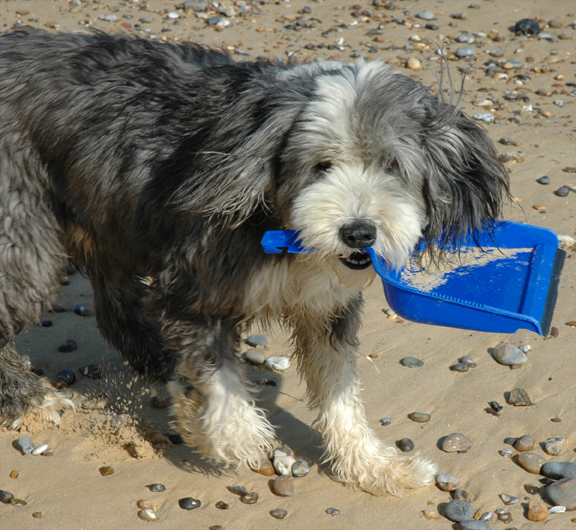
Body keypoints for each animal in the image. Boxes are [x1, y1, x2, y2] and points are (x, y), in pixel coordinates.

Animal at [0, 29, 506, 496]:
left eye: (392, 165)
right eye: (321, 165)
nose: (358, 231)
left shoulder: (326, 307)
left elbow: (339, 388)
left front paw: (372, 464)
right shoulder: (195, 283)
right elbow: (218, 373)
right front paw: (234, 434)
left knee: (114, 304)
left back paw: (156, 358)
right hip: (26, 237)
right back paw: (32, 400)